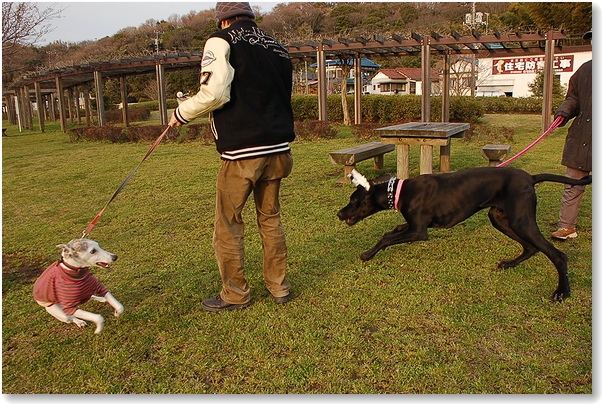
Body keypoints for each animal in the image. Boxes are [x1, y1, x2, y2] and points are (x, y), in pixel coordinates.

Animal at [338, 166, 592, 302]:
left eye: (355, 201)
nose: (339, 214)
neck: (400, 191)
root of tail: (530, 178)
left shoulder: (419, 231)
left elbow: (387, 237)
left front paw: (367, 254)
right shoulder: (412, 226)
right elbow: (394, 230)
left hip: (521, 221)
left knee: (557, 255)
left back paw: (562, 291)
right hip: (499, 218)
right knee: (530, 247)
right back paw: (509, 264)